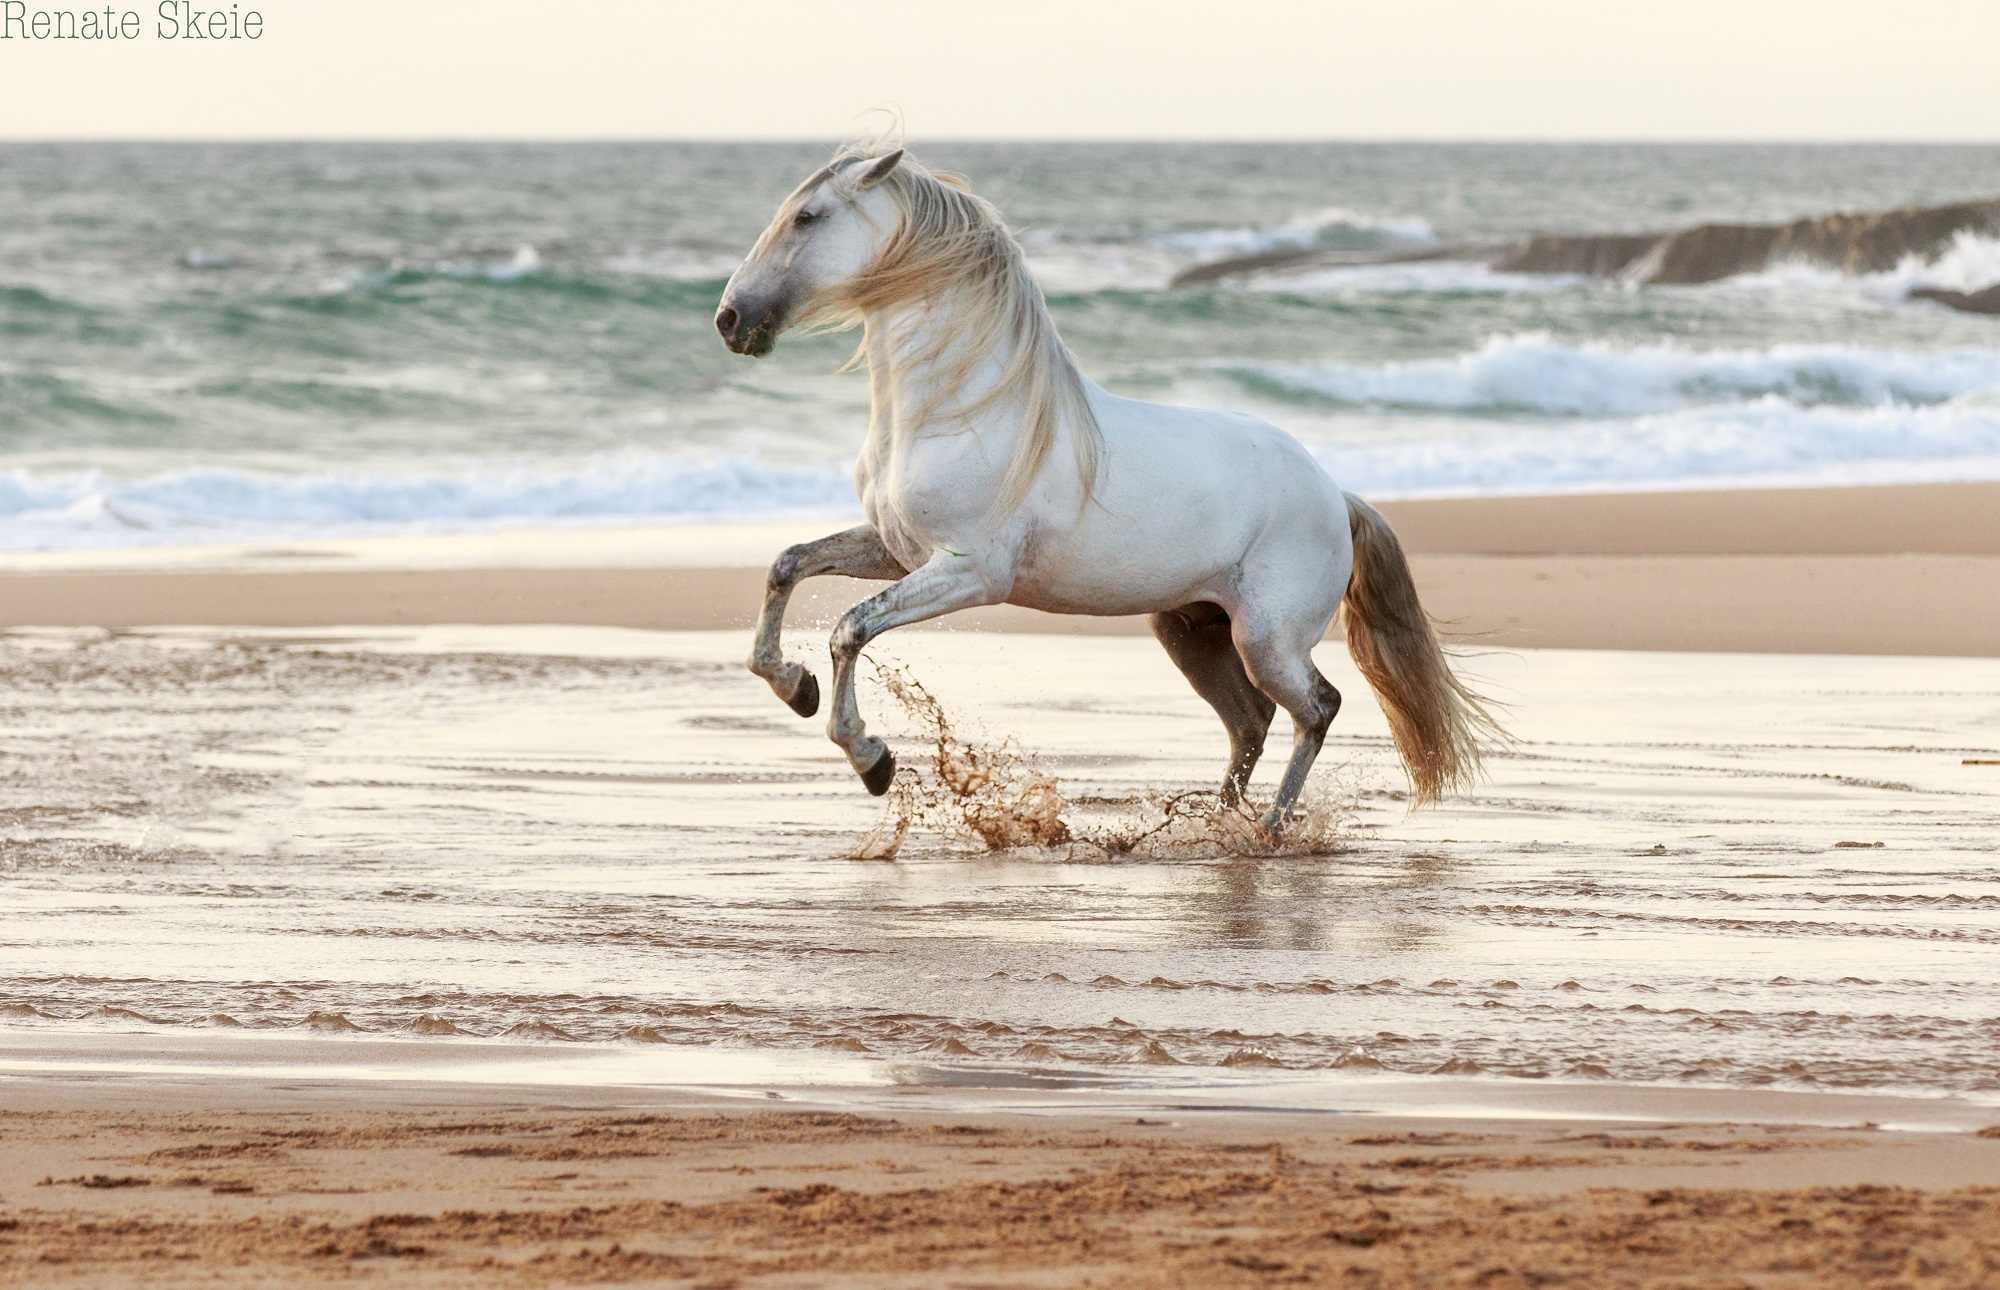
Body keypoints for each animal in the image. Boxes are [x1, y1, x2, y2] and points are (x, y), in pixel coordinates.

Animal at [724, 146, 1504, 832]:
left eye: (808, 217)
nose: (730, 321)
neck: (964, 410)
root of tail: (1336, 495)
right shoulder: (898, 551)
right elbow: (788, 564)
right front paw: (793, 686)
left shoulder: (970, 574)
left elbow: (850, 628)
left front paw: (871, 759)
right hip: (1190, 629)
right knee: (1250, 722)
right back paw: (1214, 826)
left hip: (1268, 639)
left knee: (1318, 707)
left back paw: (1270, 830)